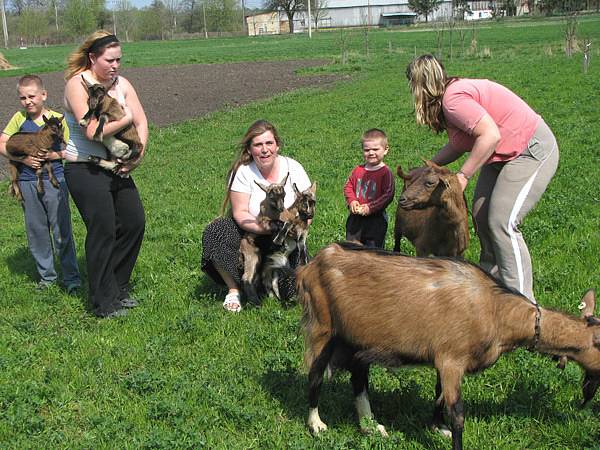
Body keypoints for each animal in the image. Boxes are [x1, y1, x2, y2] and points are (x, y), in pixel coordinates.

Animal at [239, 172, 288, 302]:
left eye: (284, 195)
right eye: (271, 197)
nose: (281, 208)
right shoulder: (263, 221)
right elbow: (273, 224)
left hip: (265, 263)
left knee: (264, 280)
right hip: (252, 255)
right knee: (247, 277)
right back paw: (256, 302)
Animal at [298, 243, 600, 450]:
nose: (586, 401)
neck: (497, 310)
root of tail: (312, 265)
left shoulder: (445, 360)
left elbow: (439, 395)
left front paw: (436, 427)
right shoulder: (451, 359)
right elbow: (457, 413)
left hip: (358, 339)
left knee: (358, 377)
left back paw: (372, 426)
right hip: (324, 327)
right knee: (315, 374)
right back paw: (316, 424)